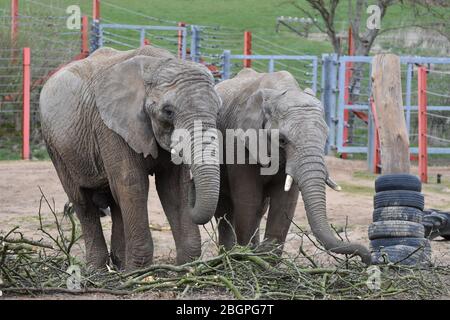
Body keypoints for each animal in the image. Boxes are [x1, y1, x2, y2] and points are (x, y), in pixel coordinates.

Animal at [39, 45, 222, 270]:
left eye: (218, 111)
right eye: (168, 111)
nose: (194, 185)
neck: (156, 65)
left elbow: (173, 187)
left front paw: (186, 268)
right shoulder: (110, 128)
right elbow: (133, 184)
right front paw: (139, 271)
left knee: (115, 201)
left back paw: (120, 266)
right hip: (55, 145)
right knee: (83, 202)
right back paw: (99, 270)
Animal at [213, 69, 370, 264]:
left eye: (326, 137)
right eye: (282, 140)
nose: (366, 259)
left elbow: (285, 201)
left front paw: (265, 258)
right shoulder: (238, 142)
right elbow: (248, 198)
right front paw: (247, 259)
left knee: (259, 209)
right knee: (224, 209)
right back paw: (228, 256)